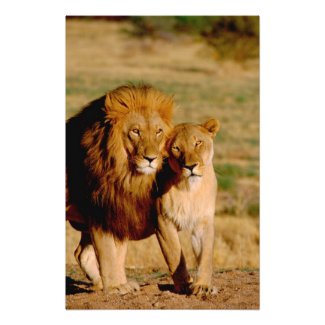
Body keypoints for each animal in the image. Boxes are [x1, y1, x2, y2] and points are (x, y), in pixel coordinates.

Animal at [64, 84, 173, 294]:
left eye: (158, 131)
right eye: (136, 131)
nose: (151, 158)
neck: (125, 174)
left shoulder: (119, 209)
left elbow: (119, 253)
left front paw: (121, 283)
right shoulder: (100, 212)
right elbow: (108, 252)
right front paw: (115, 286)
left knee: (81, 253)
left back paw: (98, 283)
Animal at [155, 117, 220, 294]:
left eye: (198, 142)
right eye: (176, 148)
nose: (190, 167)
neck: (190, 189)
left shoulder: (203, 221)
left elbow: (206, 256)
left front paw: (203, 285)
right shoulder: (163, 222)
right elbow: (174, 253)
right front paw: (184, 284)